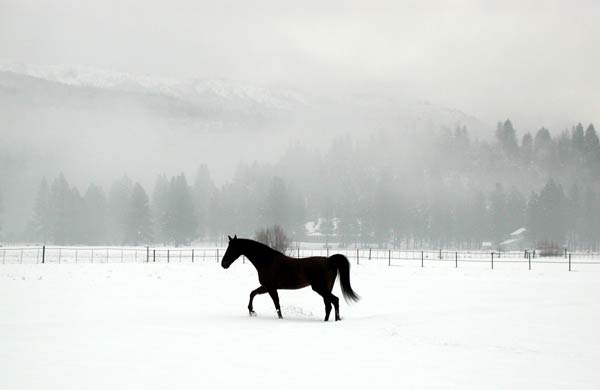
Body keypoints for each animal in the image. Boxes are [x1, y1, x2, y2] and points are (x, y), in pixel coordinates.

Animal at [221, 235, 358, 320]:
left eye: (231, 248)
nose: (223, 264)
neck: (267, 260)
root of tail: (329, 260)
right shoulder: (266, 287)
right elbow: (252, 293)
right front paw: (251, 311)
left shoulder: (270, 288)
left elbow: (276, 304)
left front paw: (280, 318)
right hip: (326, 289)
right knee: (329, 305)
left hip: (320, 289)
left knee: (335, 301)